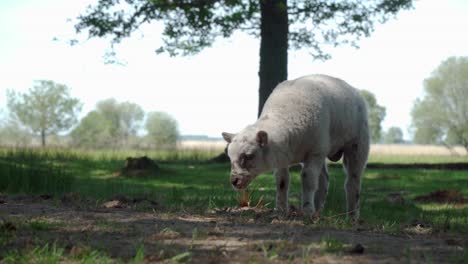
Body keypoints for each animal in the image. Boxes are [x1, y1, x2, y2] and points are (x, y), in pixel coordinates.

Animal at [223, 74, 370, 219]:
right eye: (229, 157)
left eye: (249, 156)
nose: (234, 181)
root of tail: (352, 88)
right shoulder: (281, 155)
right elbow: (282, 181)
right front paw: (280, 210)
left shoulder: (314, 152)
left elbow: (308, 180)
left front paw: (307, 210)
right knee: (324, 180)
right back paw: (318, 212)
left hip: (357, 143)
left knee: (353, 180)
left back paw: (352, 216)